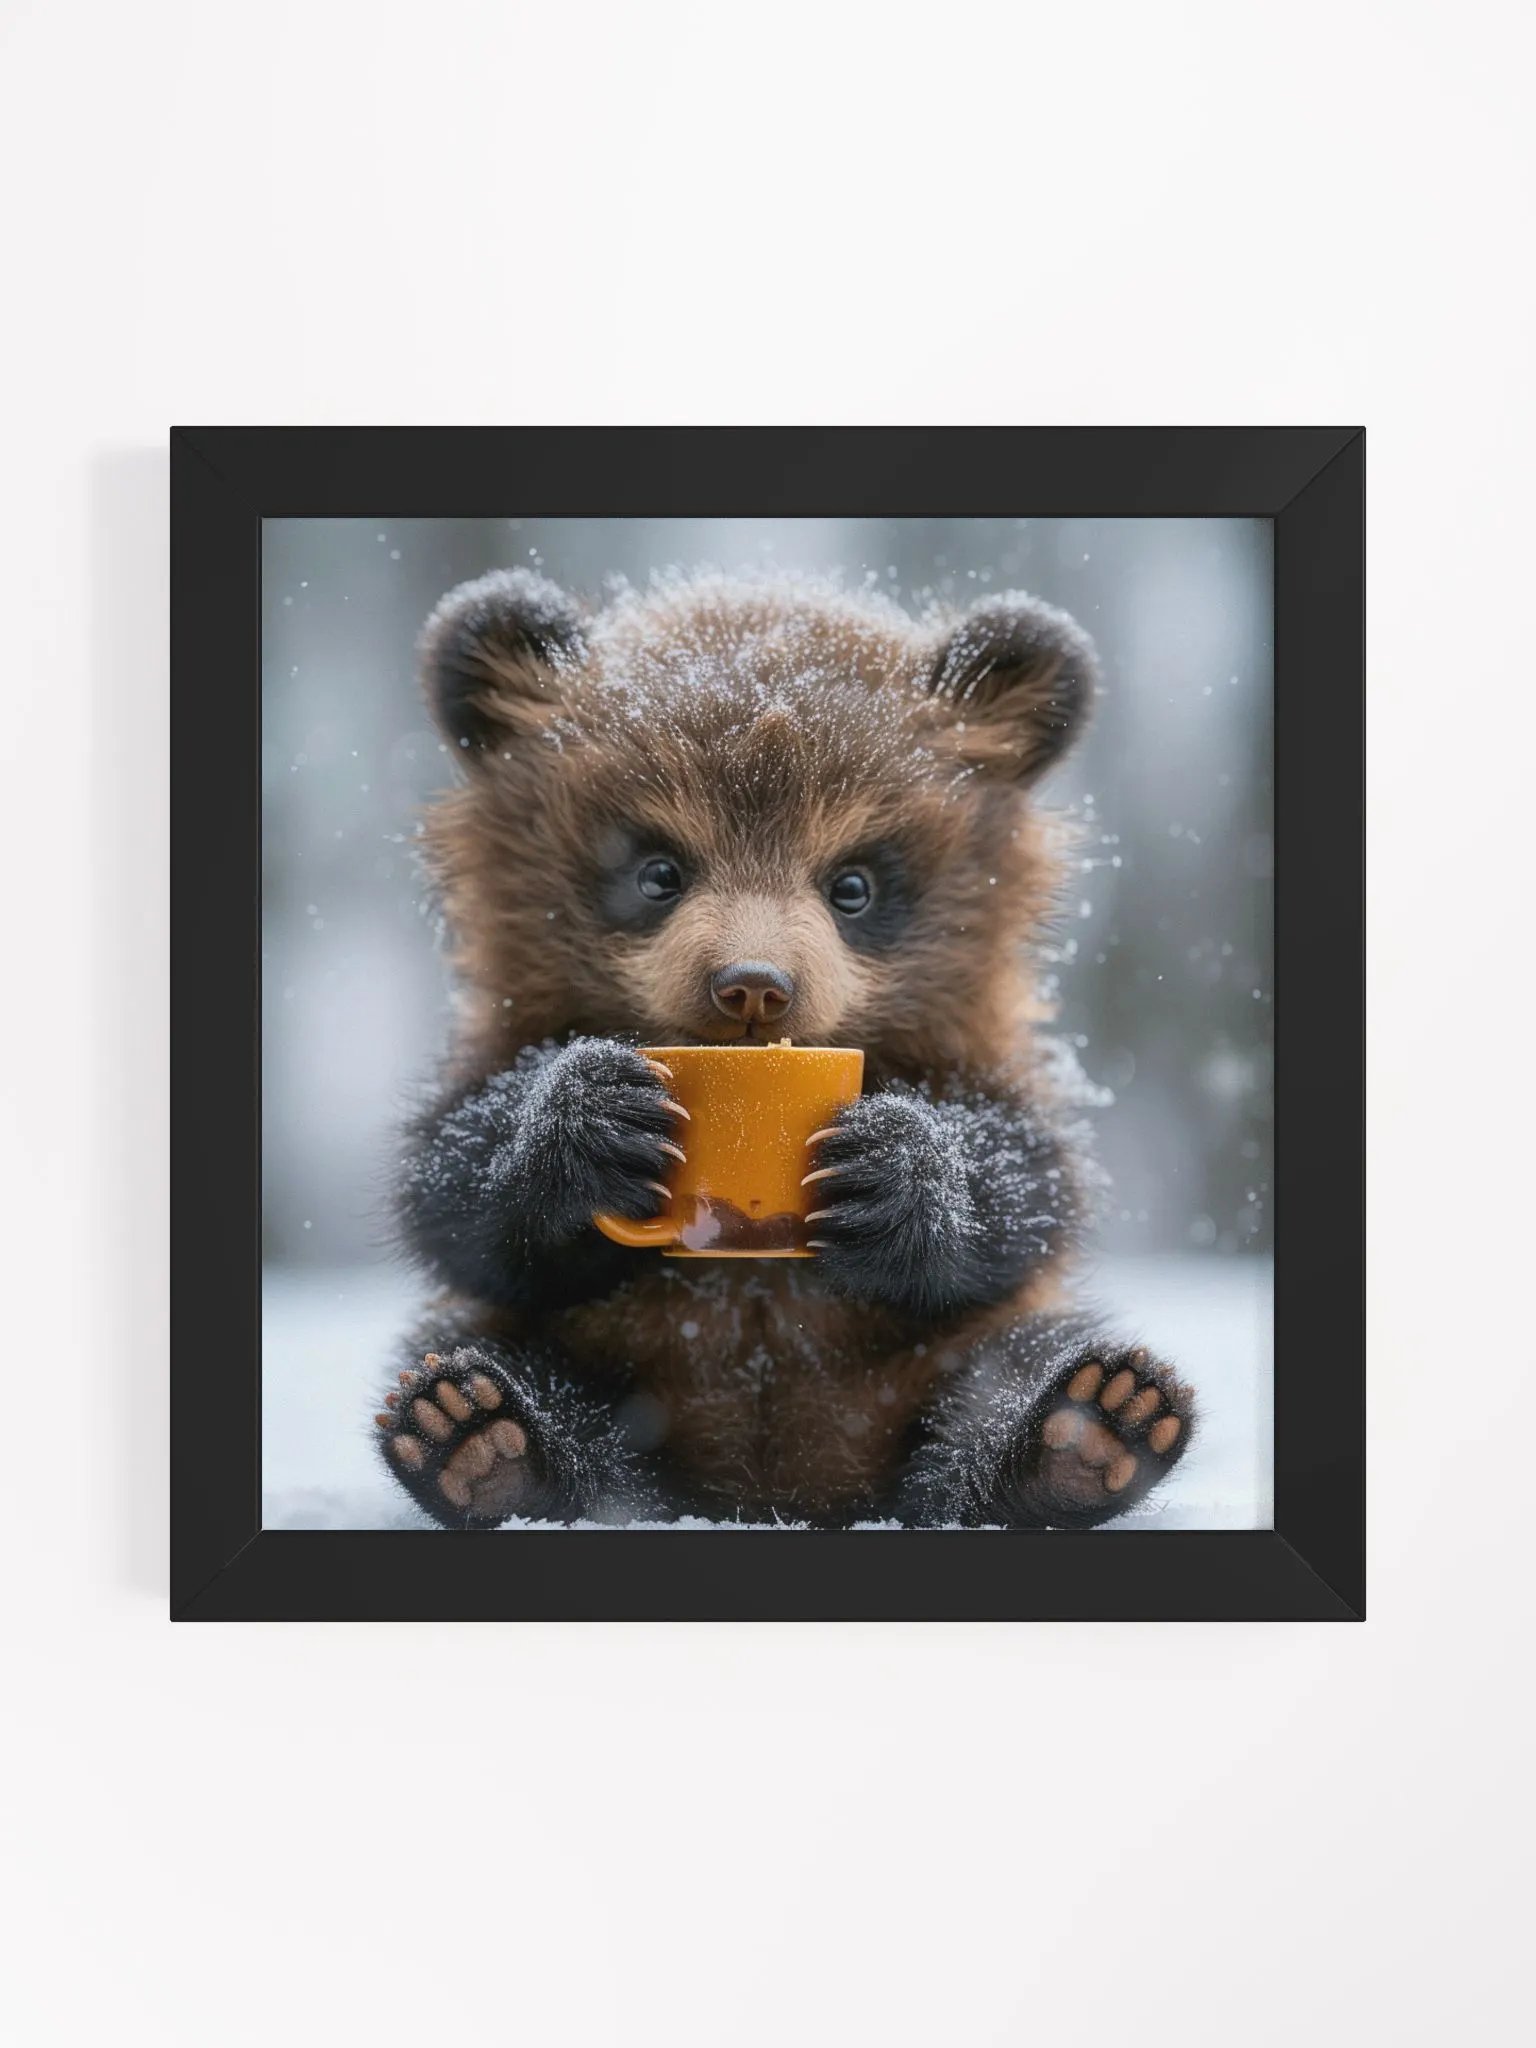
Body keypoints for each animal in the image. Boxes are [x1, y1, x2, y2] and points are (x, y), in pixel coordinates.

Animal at [374, 568, 1195, 1528]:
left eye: (852, 884)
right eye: (659, 872)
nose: (753, 985)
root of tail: (784, 1487)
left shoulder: (982, 1047)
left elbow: (1026, 1176)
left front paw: (896, 1163)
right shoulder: (503, 1033)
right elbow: (455, 1180)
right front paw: (587, 1117)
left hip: (924, 1368)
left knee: (1009, 1365)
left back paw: (1086, 1432)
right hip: (606, 1364)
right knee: (502, 1359)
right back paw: (484, 1438)